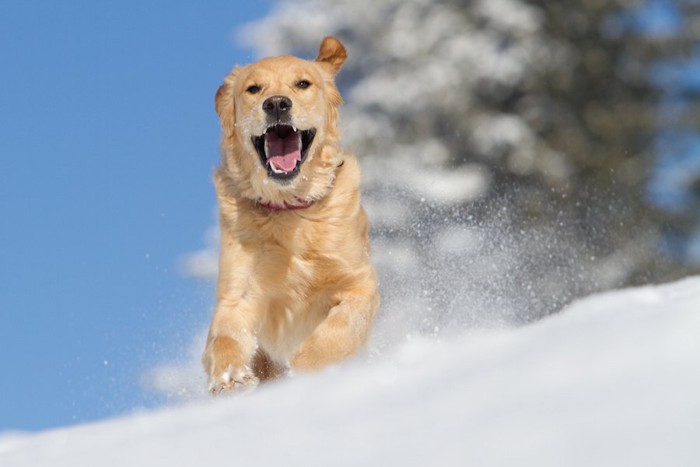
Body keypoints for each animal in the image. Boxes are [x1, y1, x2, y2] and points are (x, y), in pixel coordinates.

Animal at [200, 37, 380, 394]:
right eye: (253, 89)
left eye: (302, 84)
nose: (277, 104)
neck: (289, 210)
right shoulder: (238, 293)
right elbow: (225, 336)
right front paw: (230, 378)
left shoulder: (360, 281)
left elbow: (341, 327)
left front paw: (308, 370)